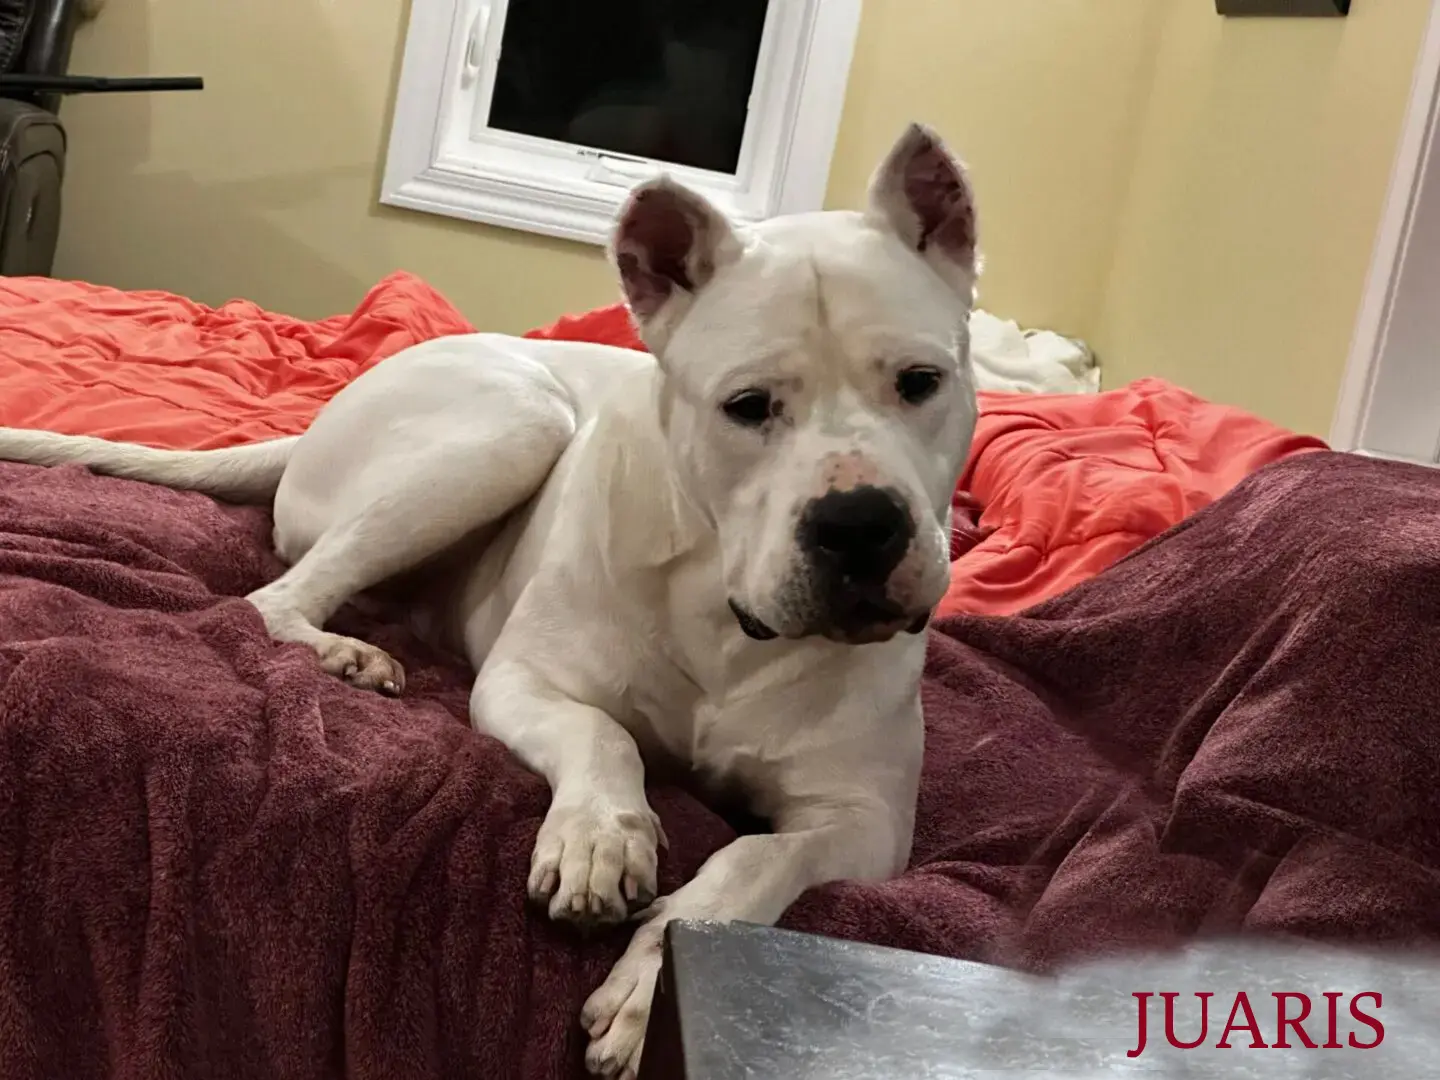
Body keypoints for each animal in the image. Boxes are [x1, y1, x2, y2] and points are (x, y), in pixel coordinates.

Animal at [0, 124, 979, 1077]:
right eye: (747, 405)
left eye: (921, 382)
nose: (861, 522)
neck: (730, 622)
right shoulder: (523, 684)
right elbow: (605, 733)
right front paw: (599, 836)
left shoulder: (865, 821)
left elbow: (756, 858)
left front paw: (649, 983)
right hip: (514, 421)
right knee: (275, 597)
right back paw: (347, 653)